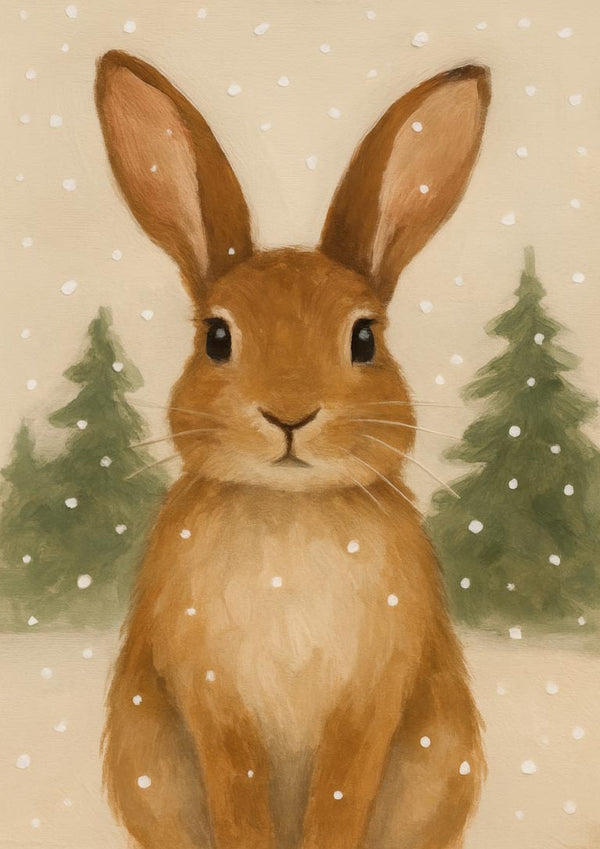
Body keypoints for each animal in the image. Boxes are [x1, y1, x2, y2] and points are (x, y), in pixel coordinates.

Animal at [95, 50, 491, 849]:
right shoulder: (214, 698)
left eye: (364, 338)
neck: (289, 511)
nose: (289, 414)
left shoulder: (370, 697)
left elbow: (341, 792)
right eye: (217, 337)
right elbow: (239, 789)